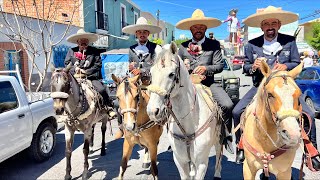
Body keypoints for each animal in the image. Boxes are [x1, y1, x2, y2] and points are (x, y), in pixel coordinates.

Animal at [146, 41, 222, 179]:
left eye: (171, 74)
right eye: (151, 73)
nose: (152, 111)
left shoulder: (202, 163)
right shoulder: (180, 161)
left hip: (219, 138)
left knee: (219, 152)